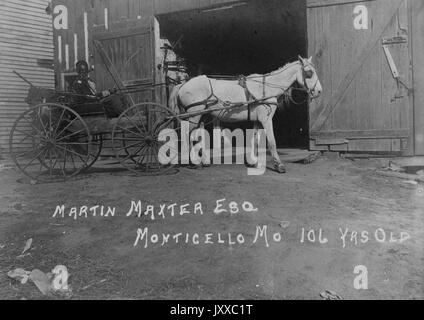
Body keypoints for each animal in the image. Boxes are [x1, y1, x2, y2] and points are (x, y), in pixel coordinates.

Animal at [169, 56, 322, 174]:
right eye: (309, 72)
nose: (319, 91)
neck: (267, 88)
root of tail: (183, 85)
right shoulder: (266, 119)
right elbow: (272, 141)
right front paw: (279, 165)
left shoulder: (258, 120)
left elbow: (255, 139)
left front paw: (253, 162)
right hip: (194, 115)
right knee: (188, 135)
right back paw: (194, 162)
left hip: (202, 115)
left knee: (197, 135)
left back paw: (204, 161)